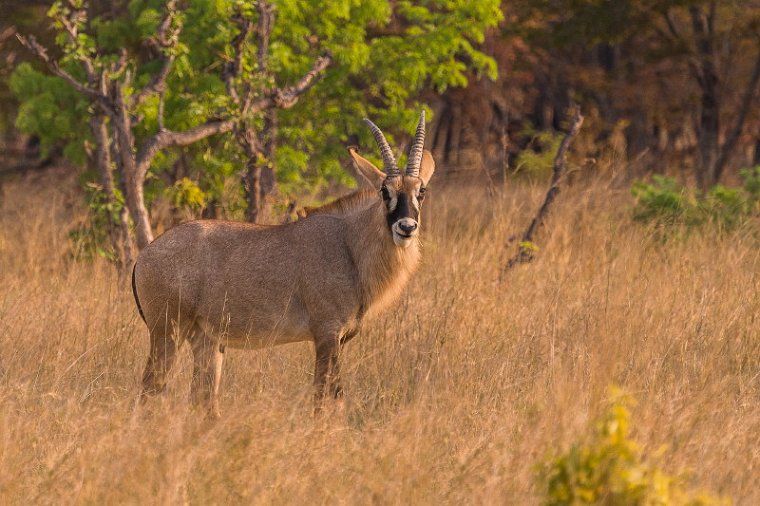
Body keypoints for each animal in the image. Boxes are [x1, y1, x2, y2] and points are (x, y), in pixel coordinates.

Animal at [134, 110, 436, 416]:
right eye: (385, 191)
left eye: (421, 191)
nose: (406, 226)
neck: (349, 245)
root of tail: (143, 256)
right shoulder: (327, 335)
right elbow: (326, 398)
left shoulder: (339, 339)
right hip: (167, 333)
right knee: (148, 390)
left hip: (206, 340)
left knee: (203, 399)